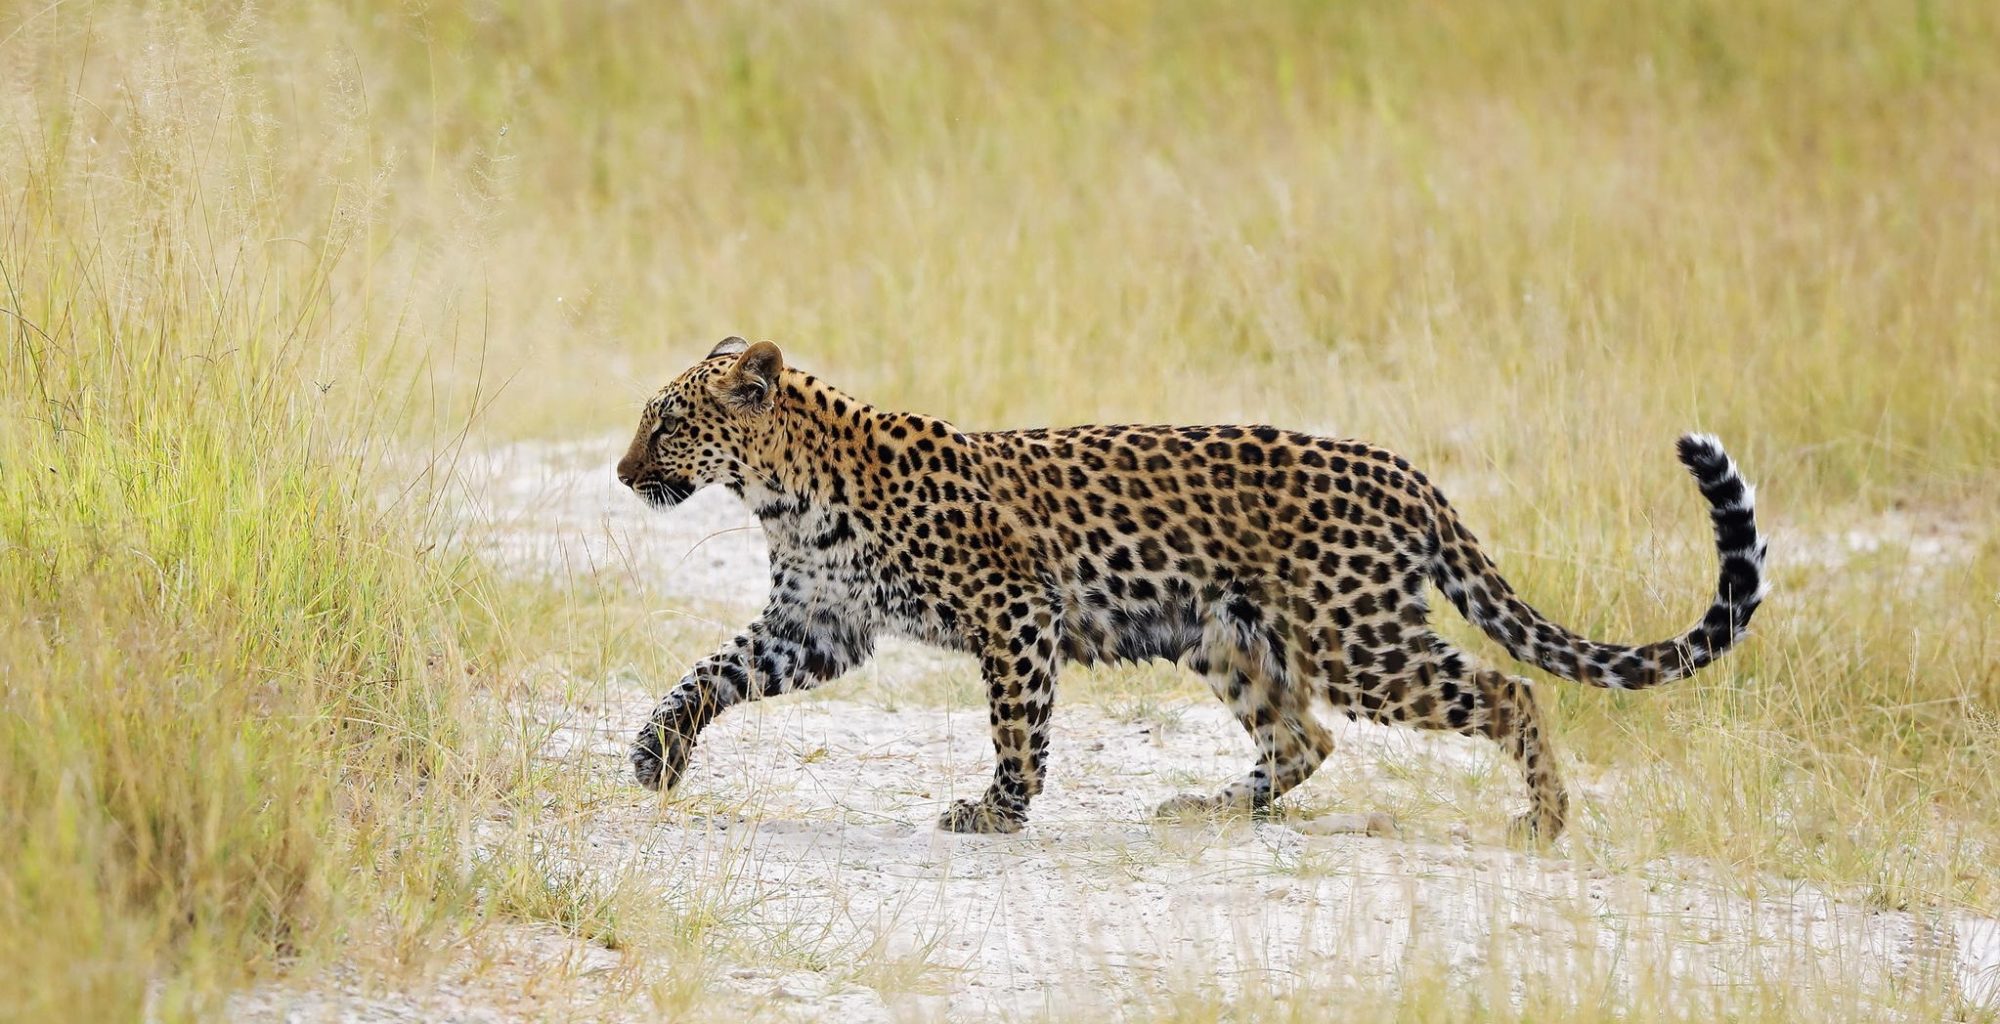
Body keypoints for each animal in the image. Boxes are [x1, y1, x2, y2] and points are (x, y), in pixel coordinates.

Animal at [612, 338, 1768, 840]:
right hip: (1230, 636)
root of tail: (1403, 470)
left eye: (665, 421)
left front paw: (998, 811)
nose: (623, 475)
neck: (782, 491)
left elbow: (1016, 724)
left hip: (1355, 637)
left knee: (1507, 690)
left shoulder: (1013, 609)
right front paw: (656, 751)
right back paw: (1206, 807)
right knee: (1304, 737)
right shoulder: (818, 622)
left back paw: (1544, 817)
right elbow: (711, 672)